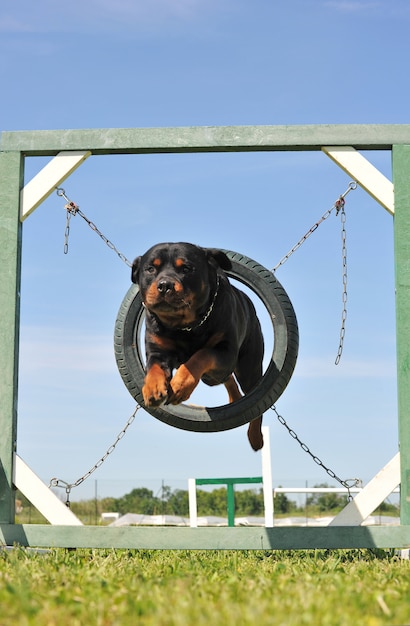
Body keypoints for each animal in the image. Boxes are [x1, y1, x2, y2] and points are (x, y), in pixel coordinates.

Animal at [132, 240, 266, 448]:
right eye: (150, 268)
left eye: (186, 268)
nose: (165, 285)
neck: (184, 326)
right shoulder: (157, 349)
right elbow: (154, 367)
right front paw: (152, 388)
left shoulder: (225, 351)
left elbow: (201, 355)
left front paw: (180, 385)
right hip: (214, 376)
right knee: (226, 379)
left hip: (248, 367)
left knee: (256, 404)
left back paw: (255, 437)